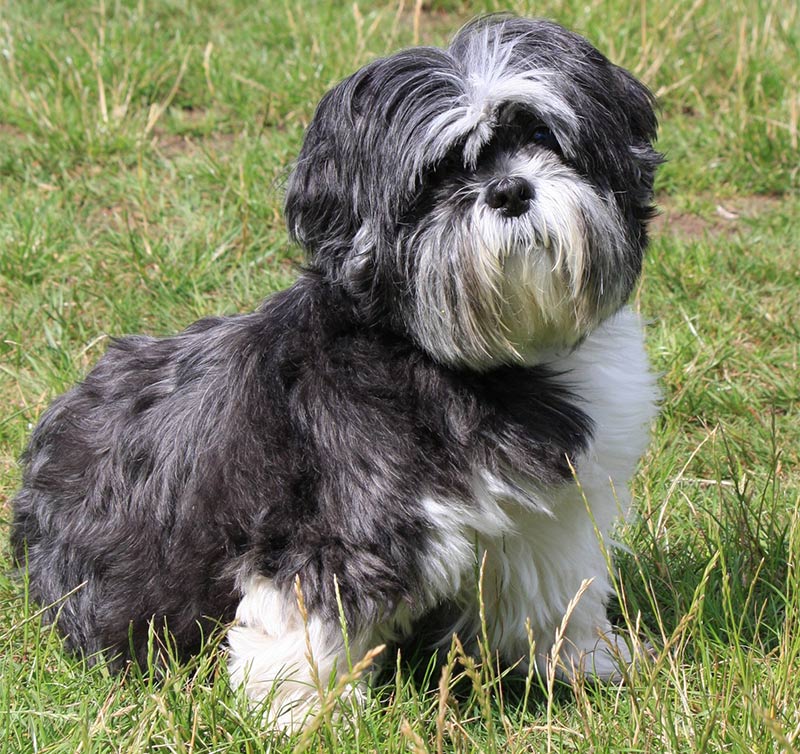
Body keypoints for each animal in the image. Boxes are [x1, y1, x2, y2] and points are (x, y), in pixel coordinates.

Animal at [10, 13, 664, 728]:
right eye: (437, 175)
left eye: (541, 135)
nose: (510, 189)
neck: (469, 363)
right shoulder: (335, 523)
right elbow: (306, 615)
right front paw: (302, 715)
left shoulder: (547, 518)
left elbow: (551, 594)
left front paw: (584, 664)